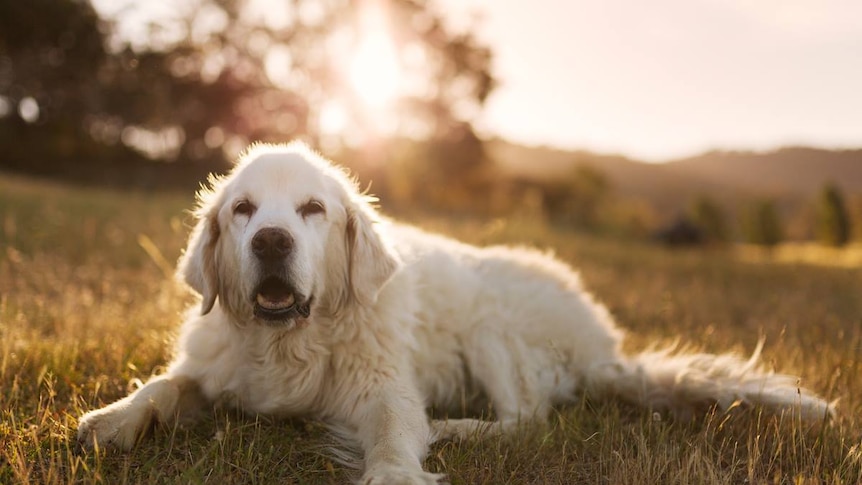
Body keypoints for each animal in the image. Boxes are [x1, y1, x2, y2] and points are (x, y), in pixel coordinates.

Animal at [77, 142, 832, 482]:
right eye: (242, 209)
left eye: (312, 209)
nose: (270, 241)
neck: (288, 343)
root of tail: (606, 345)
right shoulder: (214, 367)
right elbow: (163, 385)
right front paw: (112, 419)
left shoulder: (386, 390)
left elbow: (392, 433)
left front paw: (393, 471)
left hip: (492, 326)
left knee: (527, 421)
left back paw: (456, 427)